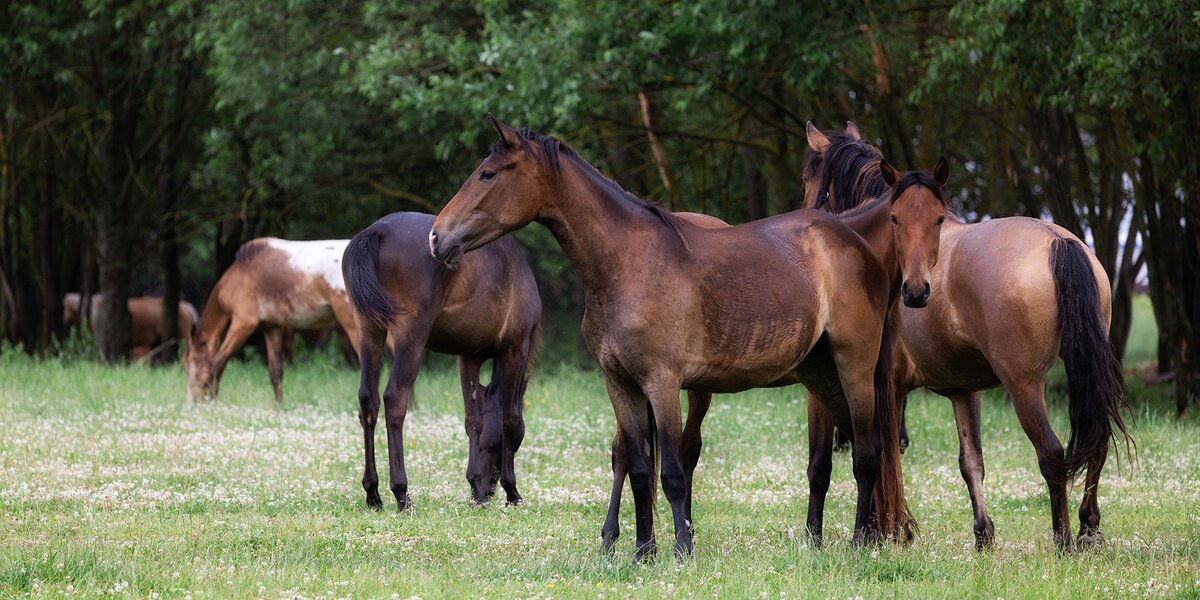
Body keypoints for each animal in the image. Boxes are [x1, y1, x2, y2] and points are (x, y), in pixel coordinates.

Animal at [182, 235, 360, 403]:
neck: (238, 276)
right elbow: (275, 372)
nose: (191, 403)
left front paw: (212, 402)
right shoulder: (271, 328)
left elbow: (218, 363)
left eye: (188, 366)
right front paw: (279, 408)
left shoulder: (243, 323)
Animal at [343, 211, 540, 511]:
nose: (489, 486)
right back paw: (401, 493)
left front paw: (476, 490)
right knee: (395, 399)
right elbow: (509, 416)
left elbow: (473, 419)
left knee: (368, 400)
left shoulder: (470, 356)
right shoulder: (515, 348)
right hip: (409, 334)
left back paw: (373, 492)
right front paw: (511, 490)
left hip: (369, 329)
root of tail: (377, 231)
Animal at [432, 117, 907, 561]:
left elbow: (673, 473)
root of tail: (856, 244)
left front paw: (682, 549)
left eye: (488, 174)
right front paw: (643, 551)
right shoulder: (620, 384)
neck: (629, 264)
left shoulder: (662, 383)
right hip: (821, 375)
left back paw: (862, 541)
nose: (437, 237)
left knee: (868, 453)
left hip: (854, 368)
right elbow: (640, 469)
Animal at [801, 121, 1128, 552]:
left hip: (1024, 386)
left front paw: (877, 531)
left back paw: (1062, 540)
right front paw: (982, 534)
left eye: (809, 177)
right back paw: (1088, 527)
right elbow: (970, 463)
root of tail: (1058, 241)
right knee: (1098, 441)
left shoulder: (873, 389)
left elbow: (857, 461)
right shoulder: (961, 390)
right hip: (1084, 370)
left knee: (1052, 454)